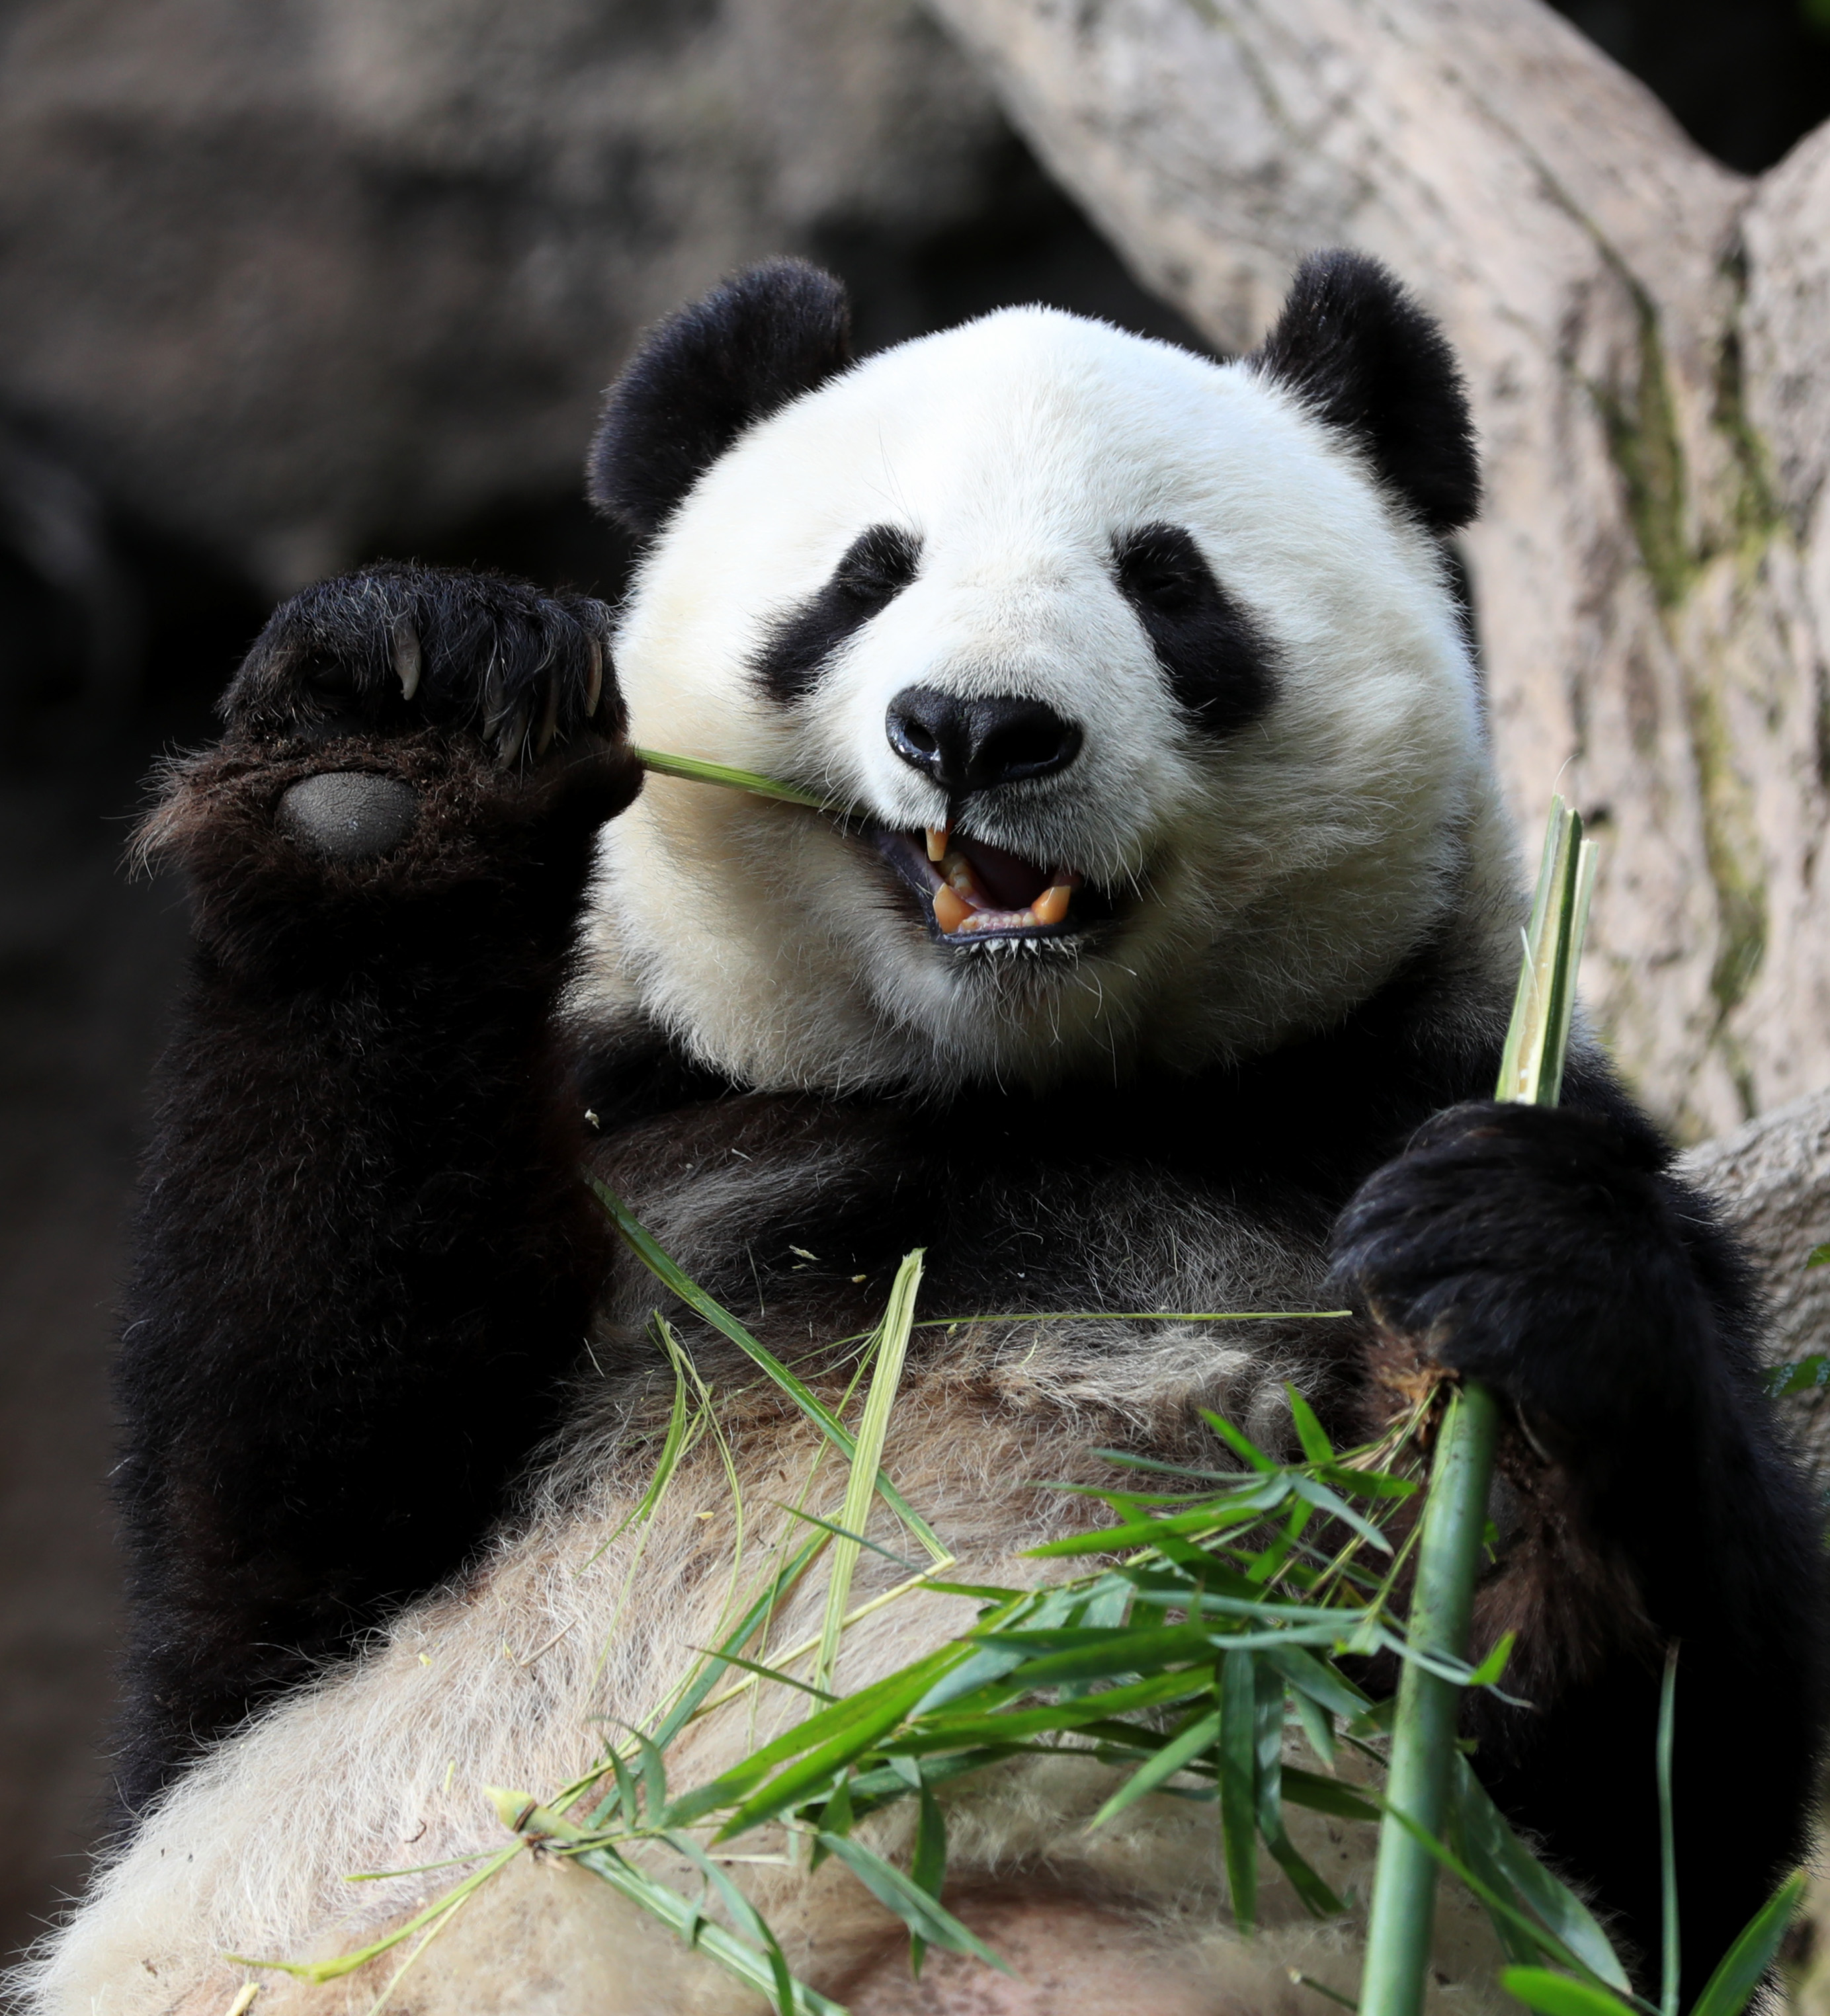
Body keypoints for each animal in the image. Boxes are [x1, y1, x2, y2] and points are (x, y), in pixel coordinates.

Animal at [18, 256, 1830, 2016]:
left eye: (1166, 581)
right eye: (865, 575)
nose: (976, 728)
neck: (1010, 1093)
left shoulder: (1386, 1105)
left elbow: (1640, 1797)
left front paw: (1514, 1261)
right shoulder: (653, 1129)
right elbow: (275, 1565)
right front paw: (397, 742)